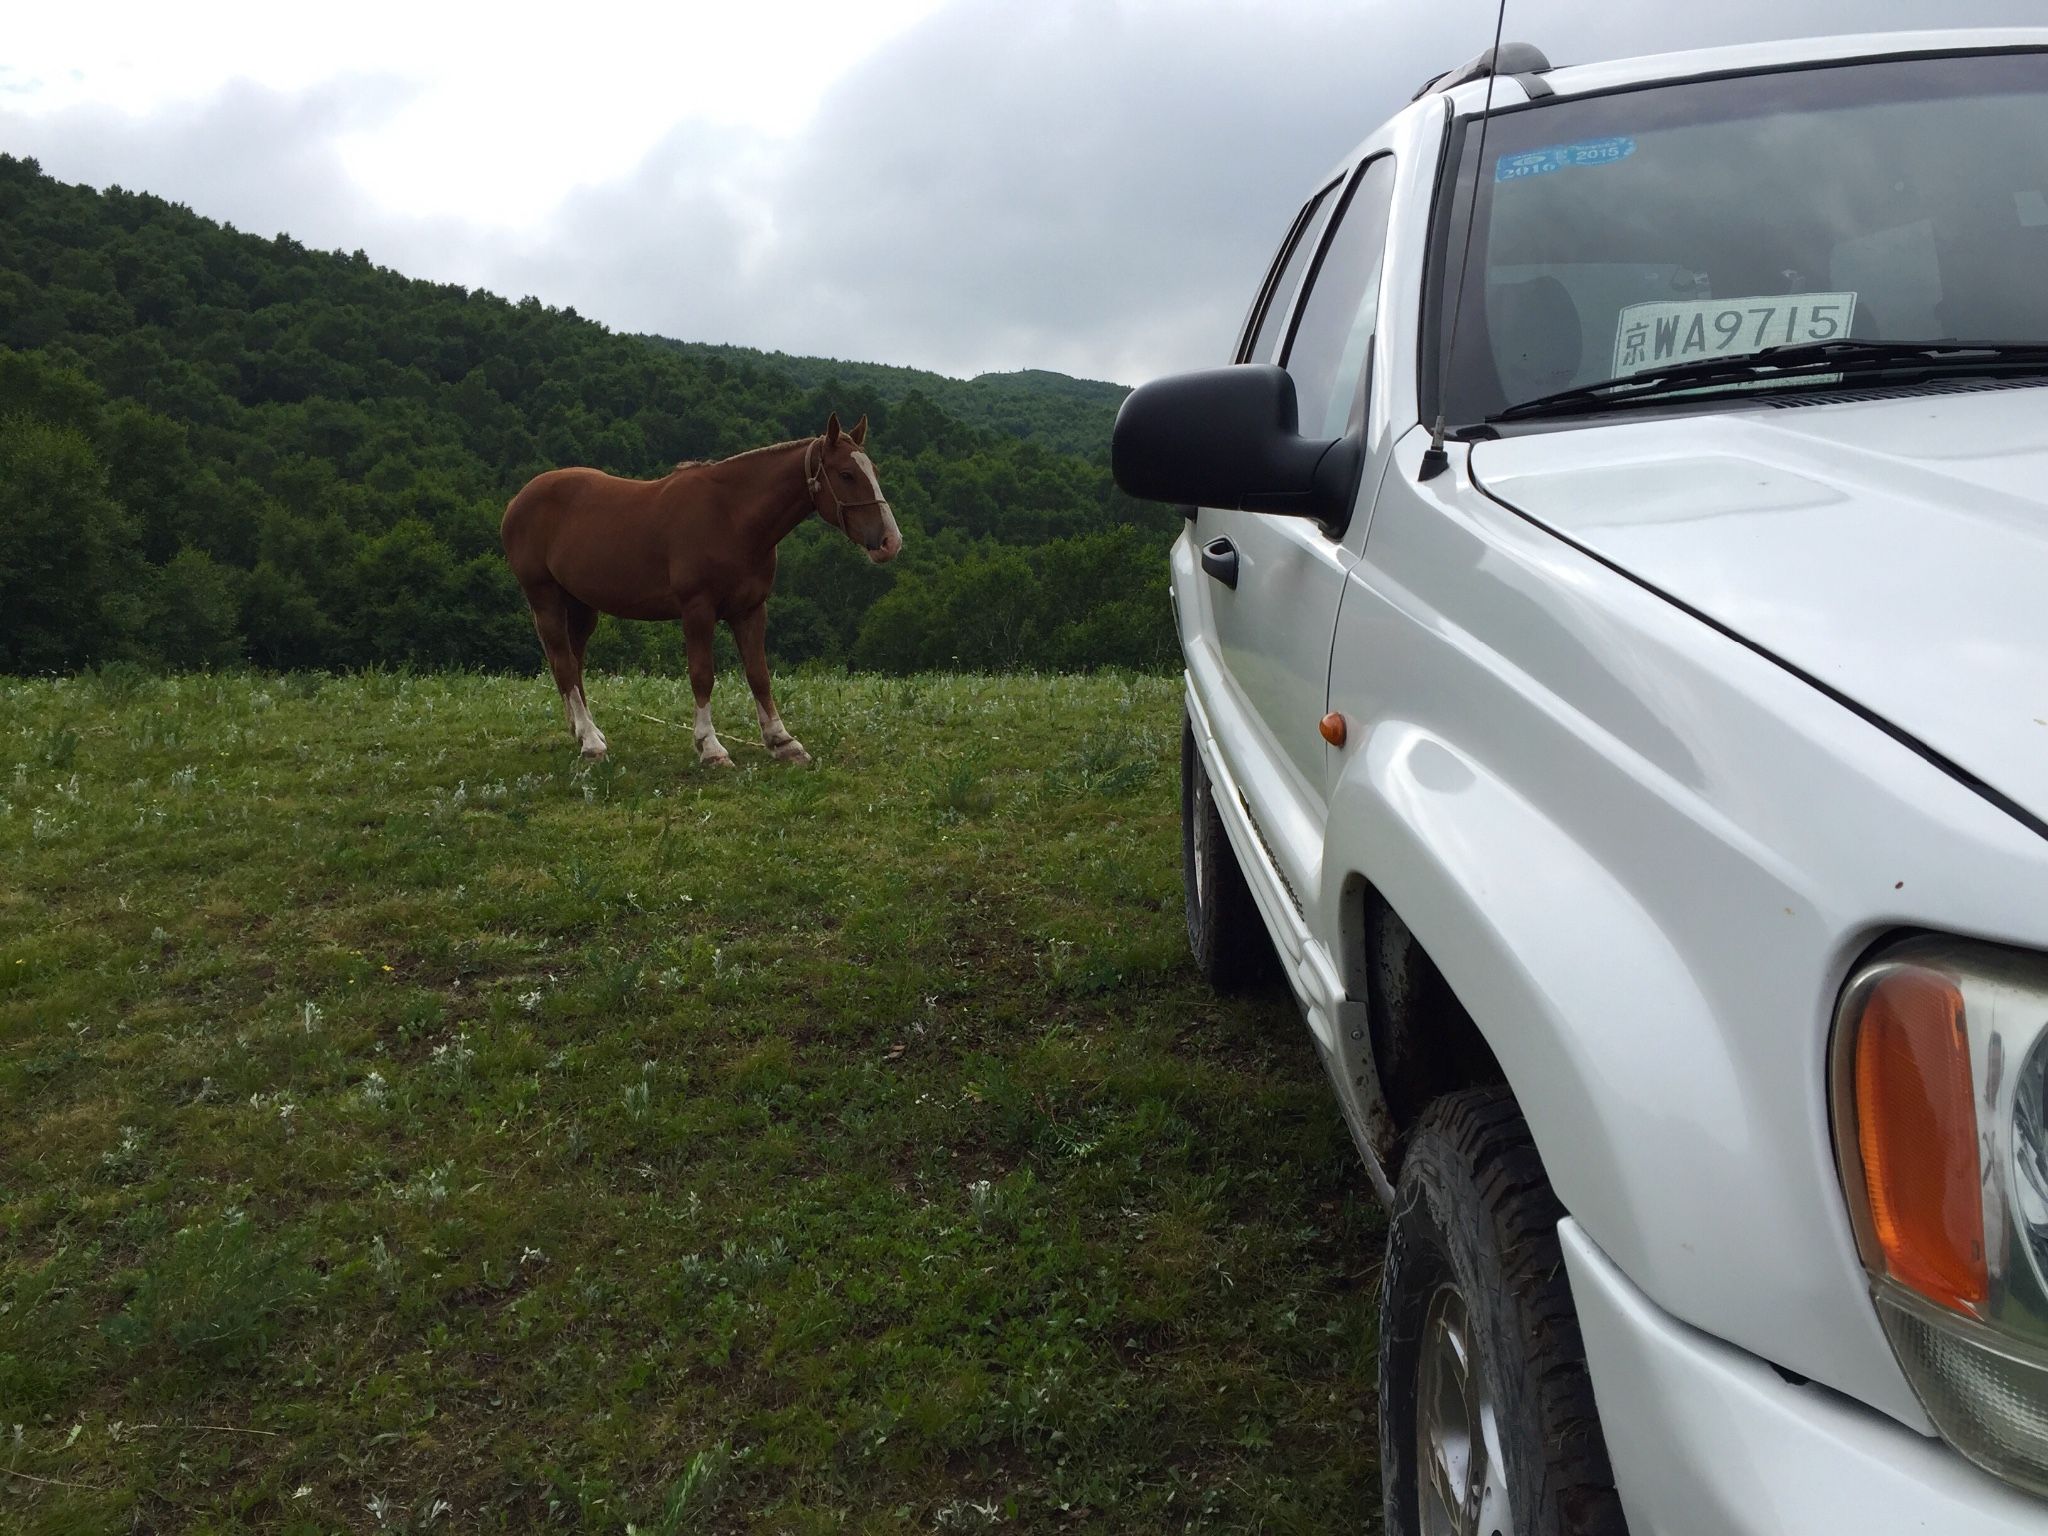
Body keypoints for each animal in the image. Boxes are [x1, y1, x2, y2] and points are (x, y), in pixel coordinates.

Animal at [499, 415, 901, 770]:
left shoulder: (751, 609)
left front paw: (782, 742)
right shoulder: (697, 609)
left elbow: (759, 673)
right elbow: (702, 674)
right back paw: (591, 742)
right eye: (847, 474)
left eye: (875, 471)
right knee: (564, 663)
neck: (731, 518)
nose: (890, 542)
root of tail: (518, 500)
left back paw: (583, 732)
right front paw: (711, 747)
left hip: (581, 605)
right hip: (545, 597)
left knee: (573, 661)